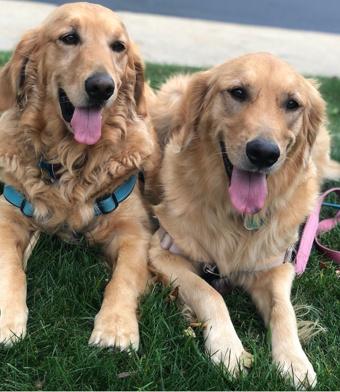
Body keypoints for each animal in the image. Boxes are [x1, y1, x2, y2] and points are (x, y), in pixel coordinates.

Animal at [0, 3, 159, 350]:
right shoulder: (8, 219)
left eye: (118, 46)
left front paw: (116, 328)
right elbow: (10, 270)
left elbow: (123, 279)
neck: (71, 157)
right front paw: (7, 319)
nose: (101, 87)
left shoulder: (135, 232)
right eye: (69, 38)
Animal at [149, 52, 340, 388]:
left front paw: (295, 361)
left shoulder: (277, 267)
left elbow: (284, 311)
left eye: (292, 103)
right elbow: (210, 293)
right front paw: (228, 348)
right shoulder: (162, 251)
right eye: (238, 92)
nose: (263, 153)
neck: (237, 218)